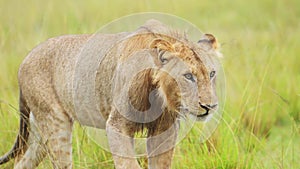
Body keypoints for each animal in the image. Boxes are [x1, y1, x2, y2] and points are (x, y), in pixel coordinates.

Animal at [0, 20, 220, 169]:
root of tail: (25, 59)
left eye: (211, 74)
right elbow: (128, 164)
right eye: (188, 76)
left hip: (40, 131)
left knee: (22, 162)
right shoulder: (116, 126)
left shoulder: (164, 129)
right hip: (55, 122)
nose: (210, 106)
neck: (158, 94)